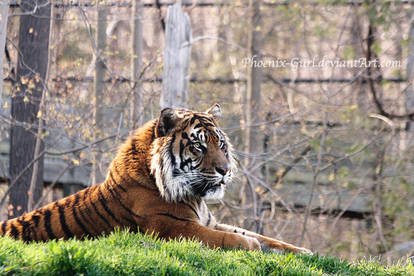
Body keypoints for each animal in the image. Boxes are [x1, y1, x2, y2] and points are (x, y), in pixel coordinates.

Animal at [0, 104, 310, 254]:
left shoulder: (209, 221)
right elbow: (232, 239)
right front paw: (252, 247)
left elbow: (264, 237)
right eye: (199, 146)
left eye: (220, 144)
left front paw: (304, 251)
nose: (225, 170)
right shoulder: (174, 227)